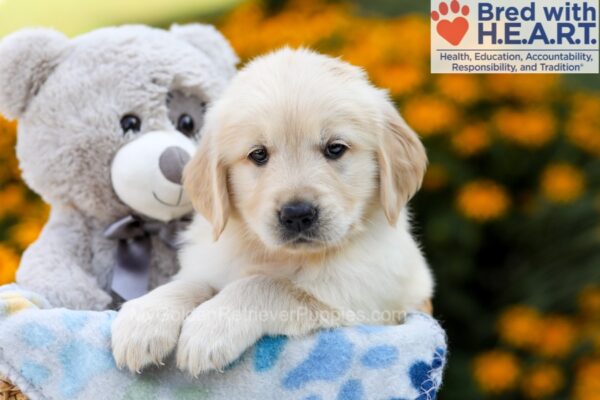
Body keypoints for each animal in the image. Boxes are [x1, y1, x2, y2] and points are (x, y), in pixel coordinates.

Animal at [111, 48, 432, 376]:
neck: (280, 256)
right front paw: (146, 317)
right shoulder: (212, 262)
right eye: (258, 154)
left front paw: (211, 325)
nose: (297, 214)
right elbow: (192, 282)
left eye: (335, 148)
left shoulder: (356, 303)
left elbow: (267, 284)